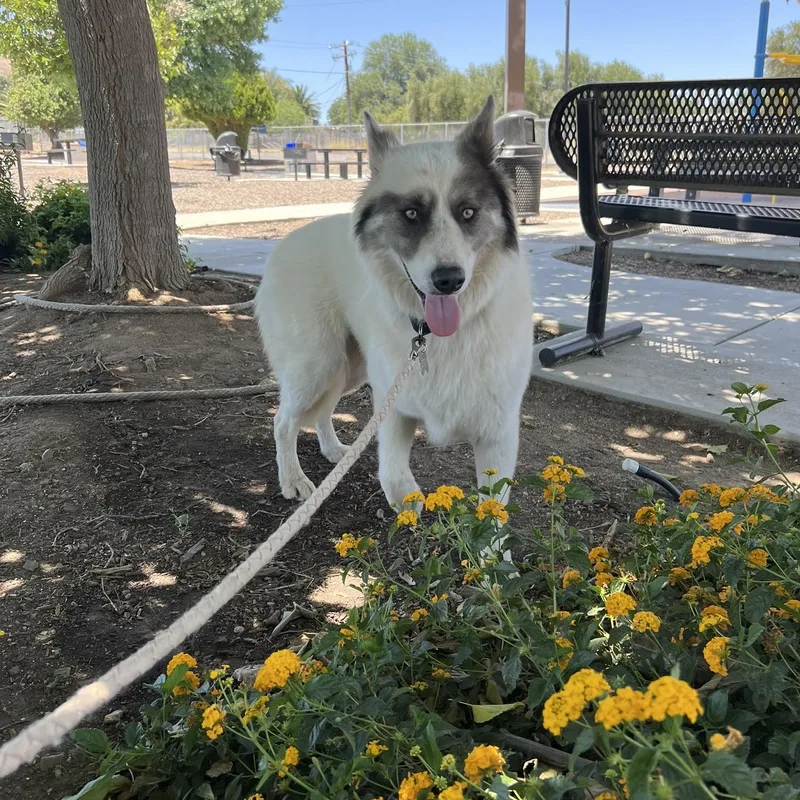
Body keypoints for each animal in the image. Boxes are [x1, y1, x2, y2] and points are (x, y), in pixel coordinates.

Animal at [255, 97, 533, 518]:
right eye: (411, 213)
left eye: (468, 212)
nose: (449, 280)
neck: (436, 337)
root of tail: (284, 243)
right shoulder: (393, 405)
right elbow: (395, 471)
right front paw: (406, 500)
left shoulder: (497, 433)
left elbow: (492, 516)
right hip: (317, 365)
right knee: (283, 422)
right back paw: (293, 480)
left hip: (348, 369)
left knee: (321, 413)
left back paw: (334, 451)